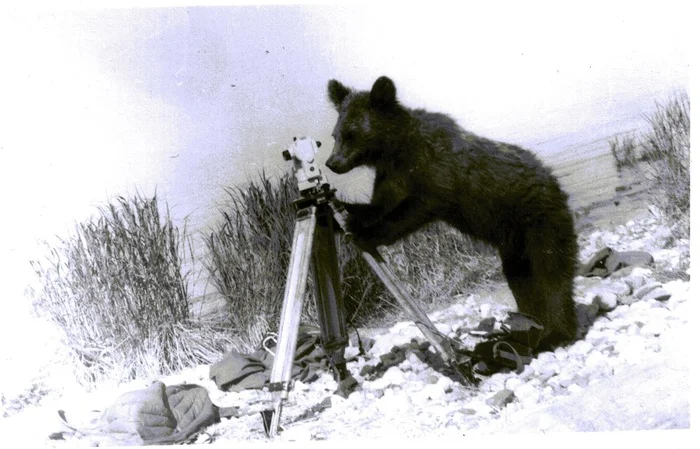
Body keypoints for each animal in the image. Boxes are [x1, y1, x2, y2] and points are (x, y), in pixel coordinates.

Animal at [325, 75, 579, 350]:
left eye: (352, 134)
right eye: (335, 135)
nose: (332, 163)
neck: (396, 150)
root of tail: (554, 182)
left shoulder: (437, 172)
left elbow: (411, 209)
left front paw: (363, 233)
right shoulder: (390, 176)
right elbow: (377, 206)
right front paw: (337, 211)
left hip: (538, 220)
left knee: (550, 273)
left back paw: (555, 333)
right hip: (515, 244)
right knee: (521, 278)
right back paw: (527, 331)